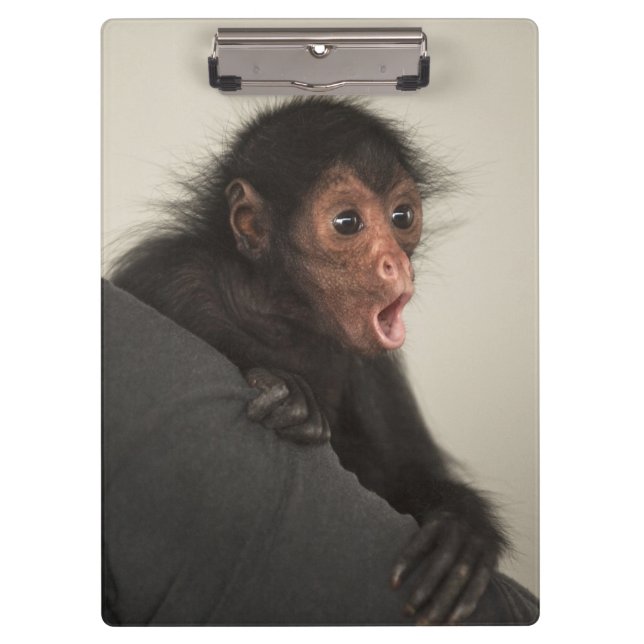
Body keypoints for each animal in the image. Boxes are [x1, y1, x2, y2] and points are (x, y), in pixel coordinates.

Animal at [108, 97, 510, 625]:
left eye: (402, 216)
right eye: (347, 223)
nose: (396, 264)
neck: (278, 316)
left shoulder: (373, 369)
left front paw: (462, 527)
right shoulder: (172, 277)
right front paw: (289, 394)